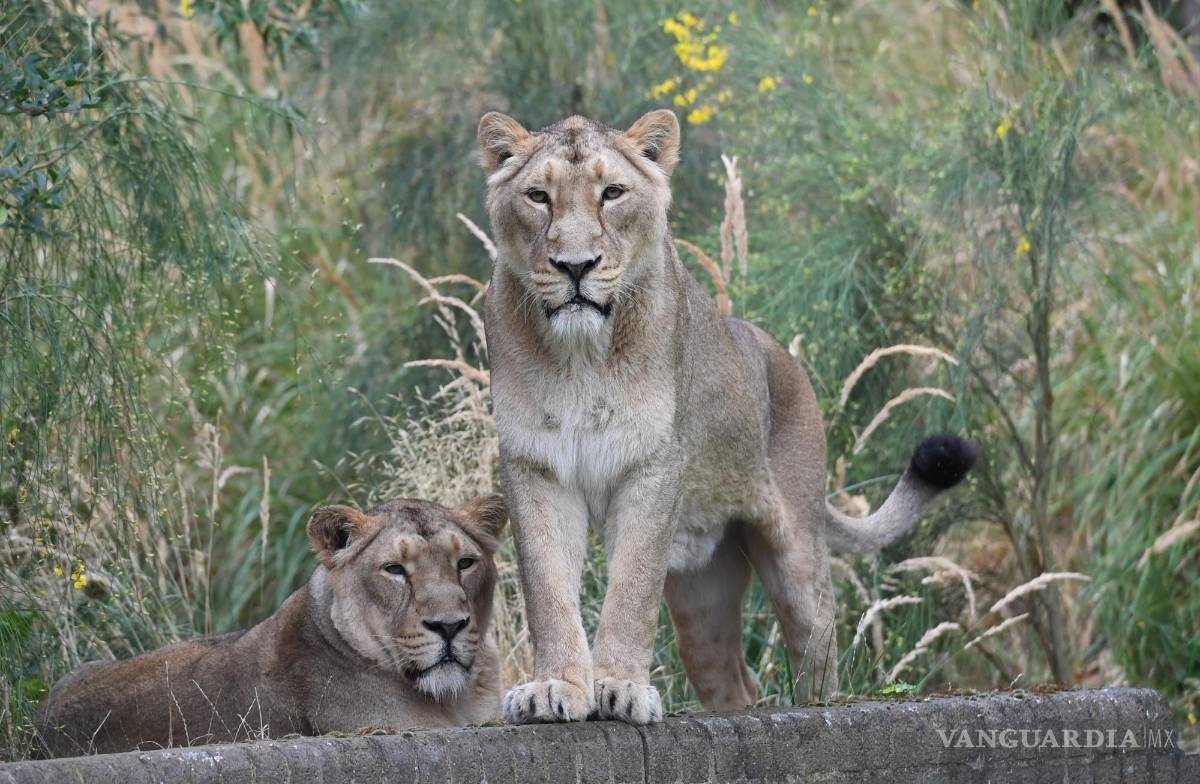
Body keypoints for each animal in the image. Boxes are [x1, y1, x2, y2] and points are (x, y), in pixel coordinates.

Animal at [476, 109, 976, 725]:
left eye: (612, 193)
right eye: (538, 197)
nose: (576, 266)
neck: (580, 356)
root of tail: (783, 355)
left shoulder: (653, 464)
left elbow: (632, 589)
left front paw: (619, 688)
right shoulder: (536, 469)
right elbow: (547, 589)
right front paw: (556, 688)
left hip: (799, 561)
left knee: (816, 658)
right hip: (701, 593)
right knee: (736, 682)